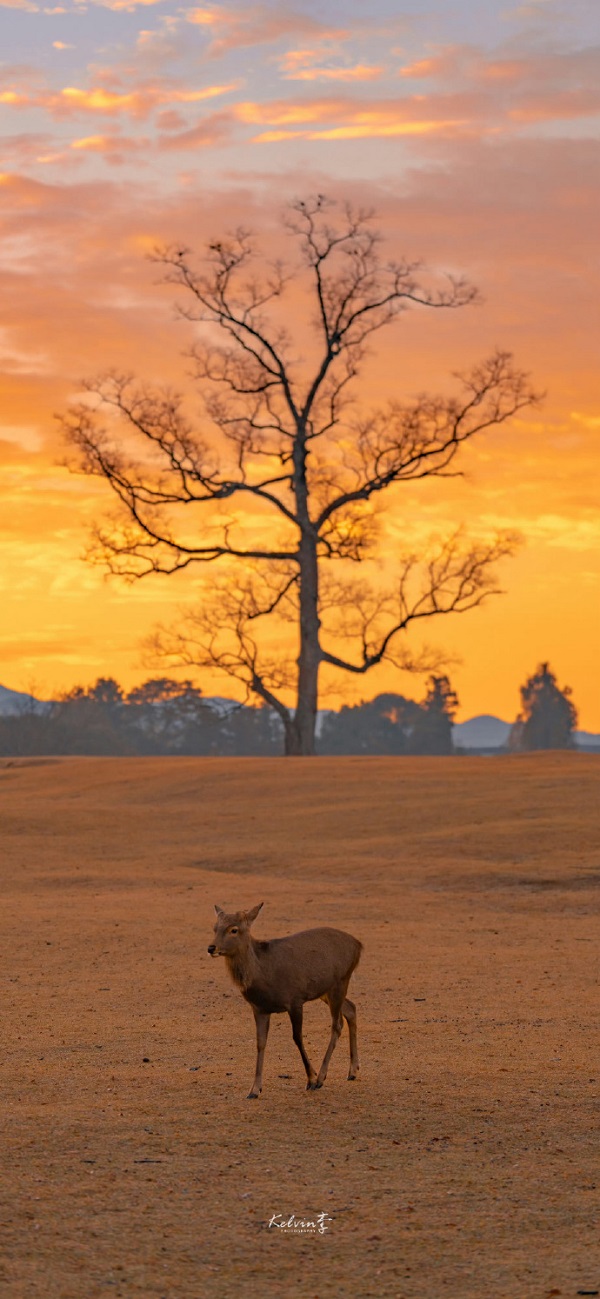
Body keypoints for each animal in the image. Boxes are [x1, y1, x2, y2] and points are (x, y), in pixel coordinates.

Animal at [206, 904, 361, 1096]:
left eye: (234, 929)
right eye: (215, 928)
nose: (211, 948)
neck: (264, 974)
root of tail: (358, 945)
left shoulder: (295, 1000)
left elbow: (297, 1037)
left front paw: (311, 1078)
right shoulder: (259, 1009)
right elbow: (260, 1043)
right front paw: (254, 1089)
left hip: (341, 981)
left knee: (337, 1024)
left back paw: (321, 1078)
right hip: (327, 990)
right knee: (351, 1008)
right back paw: (353, 1070)